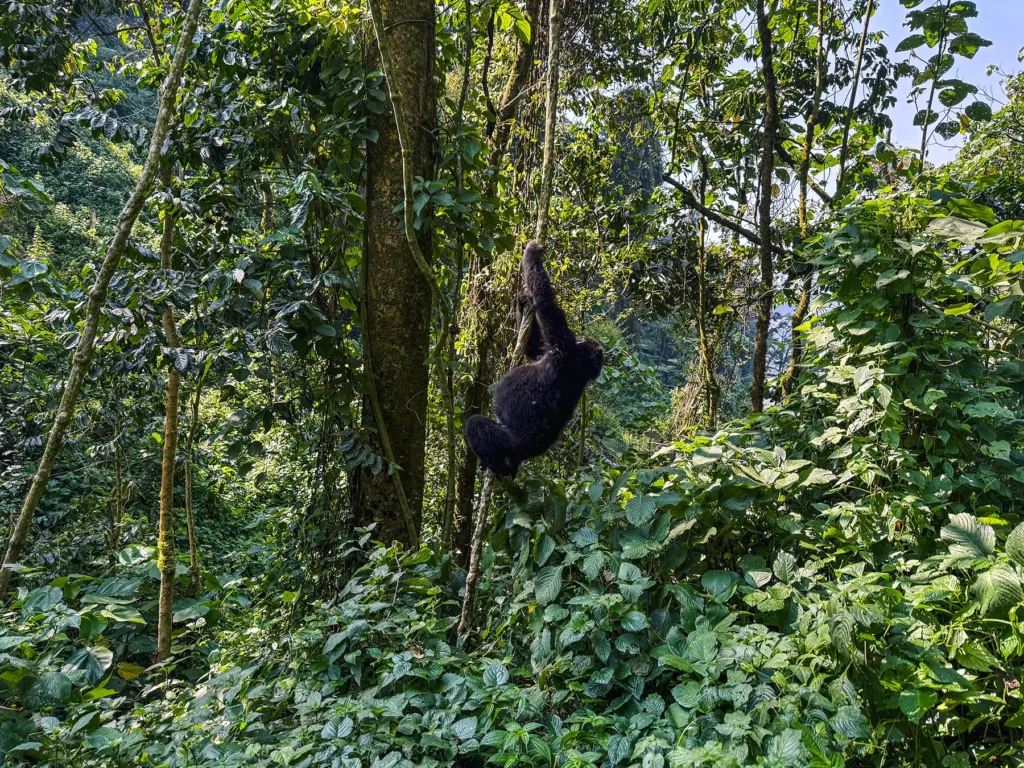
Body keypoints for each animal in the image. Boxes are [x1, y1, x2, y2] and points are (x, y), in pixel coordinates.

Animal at [464, 241, 603, 478]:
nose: (584, 339)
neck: (582, 365)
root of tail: (526, 454)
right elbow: (533, 347)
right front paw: (522, 301)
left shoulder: (562, 344)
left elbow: (545, 300)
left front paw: (532, 251)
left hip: (508, 442)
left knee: (476, 426)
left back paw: (496, 465)